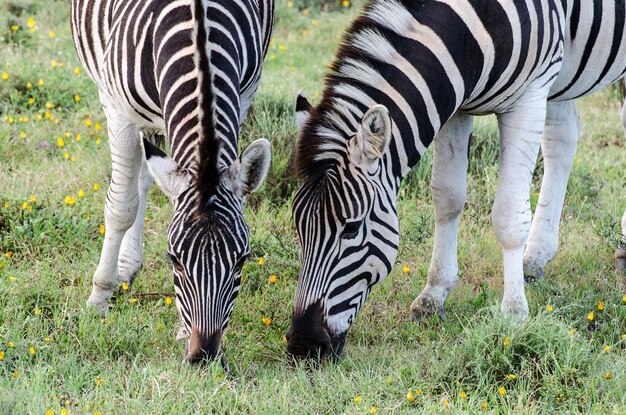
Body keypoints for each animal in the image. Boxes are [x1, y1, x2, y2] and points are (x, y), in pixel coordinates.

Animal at [69, 0, 272, 364]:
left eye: (242, 259)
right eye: (173, 259)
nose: (203, 355)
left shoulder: (245, 93)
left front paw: (181, 328)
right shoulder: (119, 112)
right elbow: (121, 208)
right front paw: (98, 300)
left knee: (145, 180)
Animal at [286, 0, 624, 360]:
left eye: (351, 228)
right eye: (299, 227)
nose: (302, 343)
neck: (475, 26)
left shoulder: (529, 97)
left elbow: (507, 216)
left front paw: (514, 314)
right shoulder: (454, 105)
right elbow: (447, 198)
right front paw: (433, 296)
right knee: (562, 138)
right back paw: (535, 258)